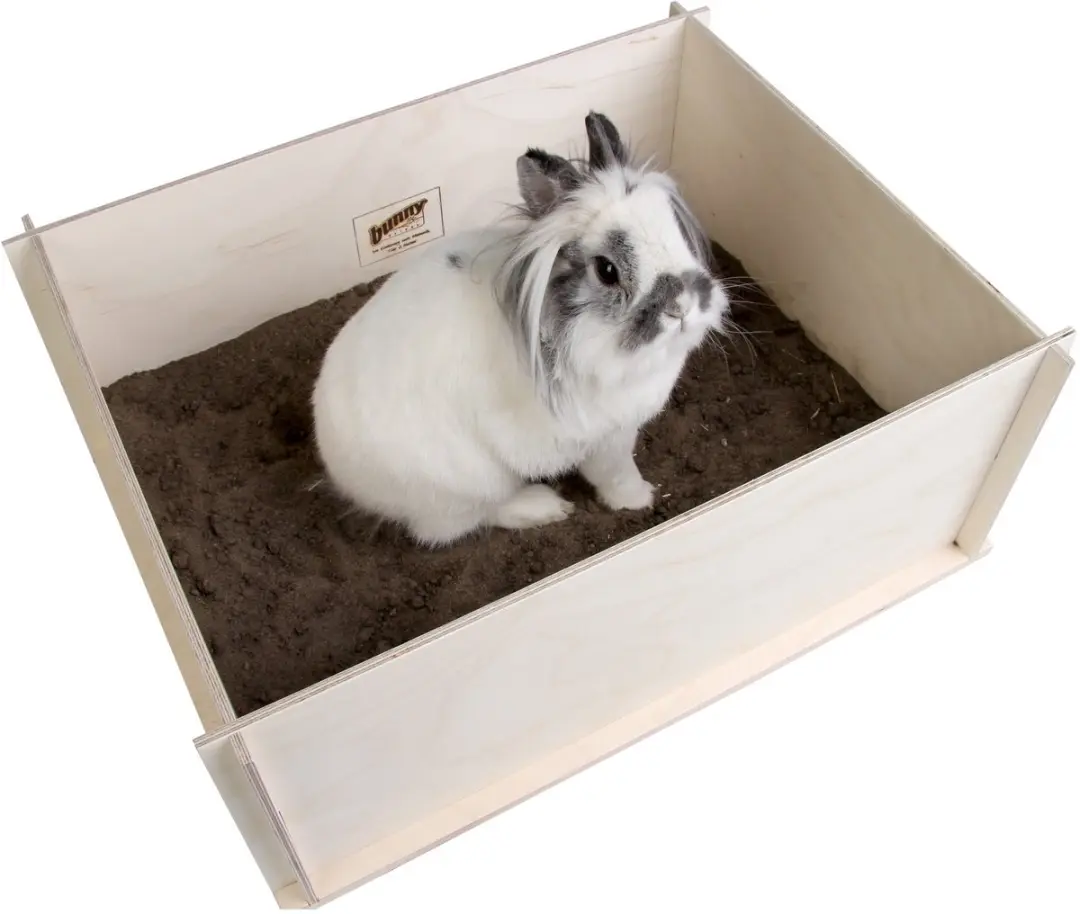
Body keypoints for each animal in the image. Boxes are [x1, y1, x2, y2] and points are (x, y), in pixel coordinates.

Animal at [311, 110, 731, 548]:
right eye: (607, 270)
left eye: (675, 229)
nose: (682, 306)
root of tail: (339, 467)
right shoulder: (603, 439)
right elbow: (615, 473)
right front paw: (639, 499)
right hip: (467, 487)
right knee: (465, 521)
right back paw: (544, 506)